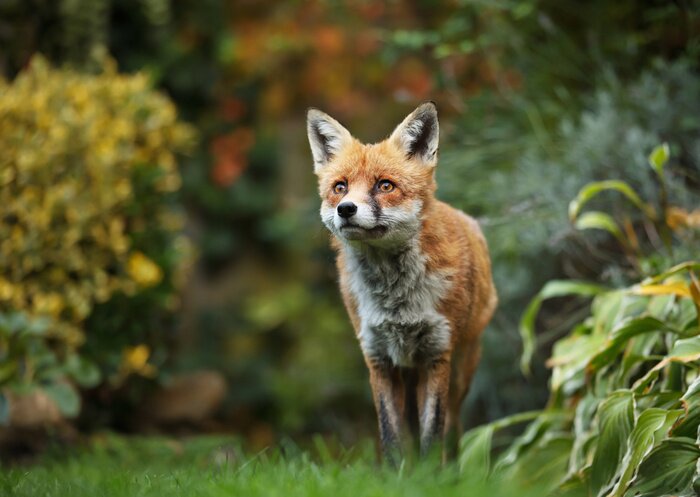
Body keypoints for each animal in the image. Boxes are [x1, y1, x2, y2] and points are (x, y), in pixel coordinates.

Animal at [306, 102, 497, 462]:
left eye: (385, 186)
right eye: (340, 187)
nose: (346, 209)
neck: (396, 303)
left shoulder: (437, 355)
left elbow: (432, 436)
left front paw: (430, 474)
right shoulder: (378, 358)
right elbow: (392, 437)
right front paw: (397, 473)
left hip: (461, 372)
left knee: (454, 430)